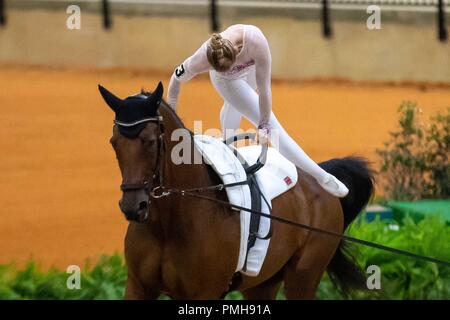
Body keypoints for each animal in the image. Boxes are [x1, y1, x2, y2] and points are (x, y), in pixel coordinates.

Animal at [99, 81, 376, 298]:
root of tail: (319, 177)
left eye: (149, 142)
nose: (132, 207)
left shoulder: (204, 294)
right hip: (263, 283)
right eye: (114, 142)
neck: (168, 225)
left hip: (303, 276)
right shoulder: (138, 287)